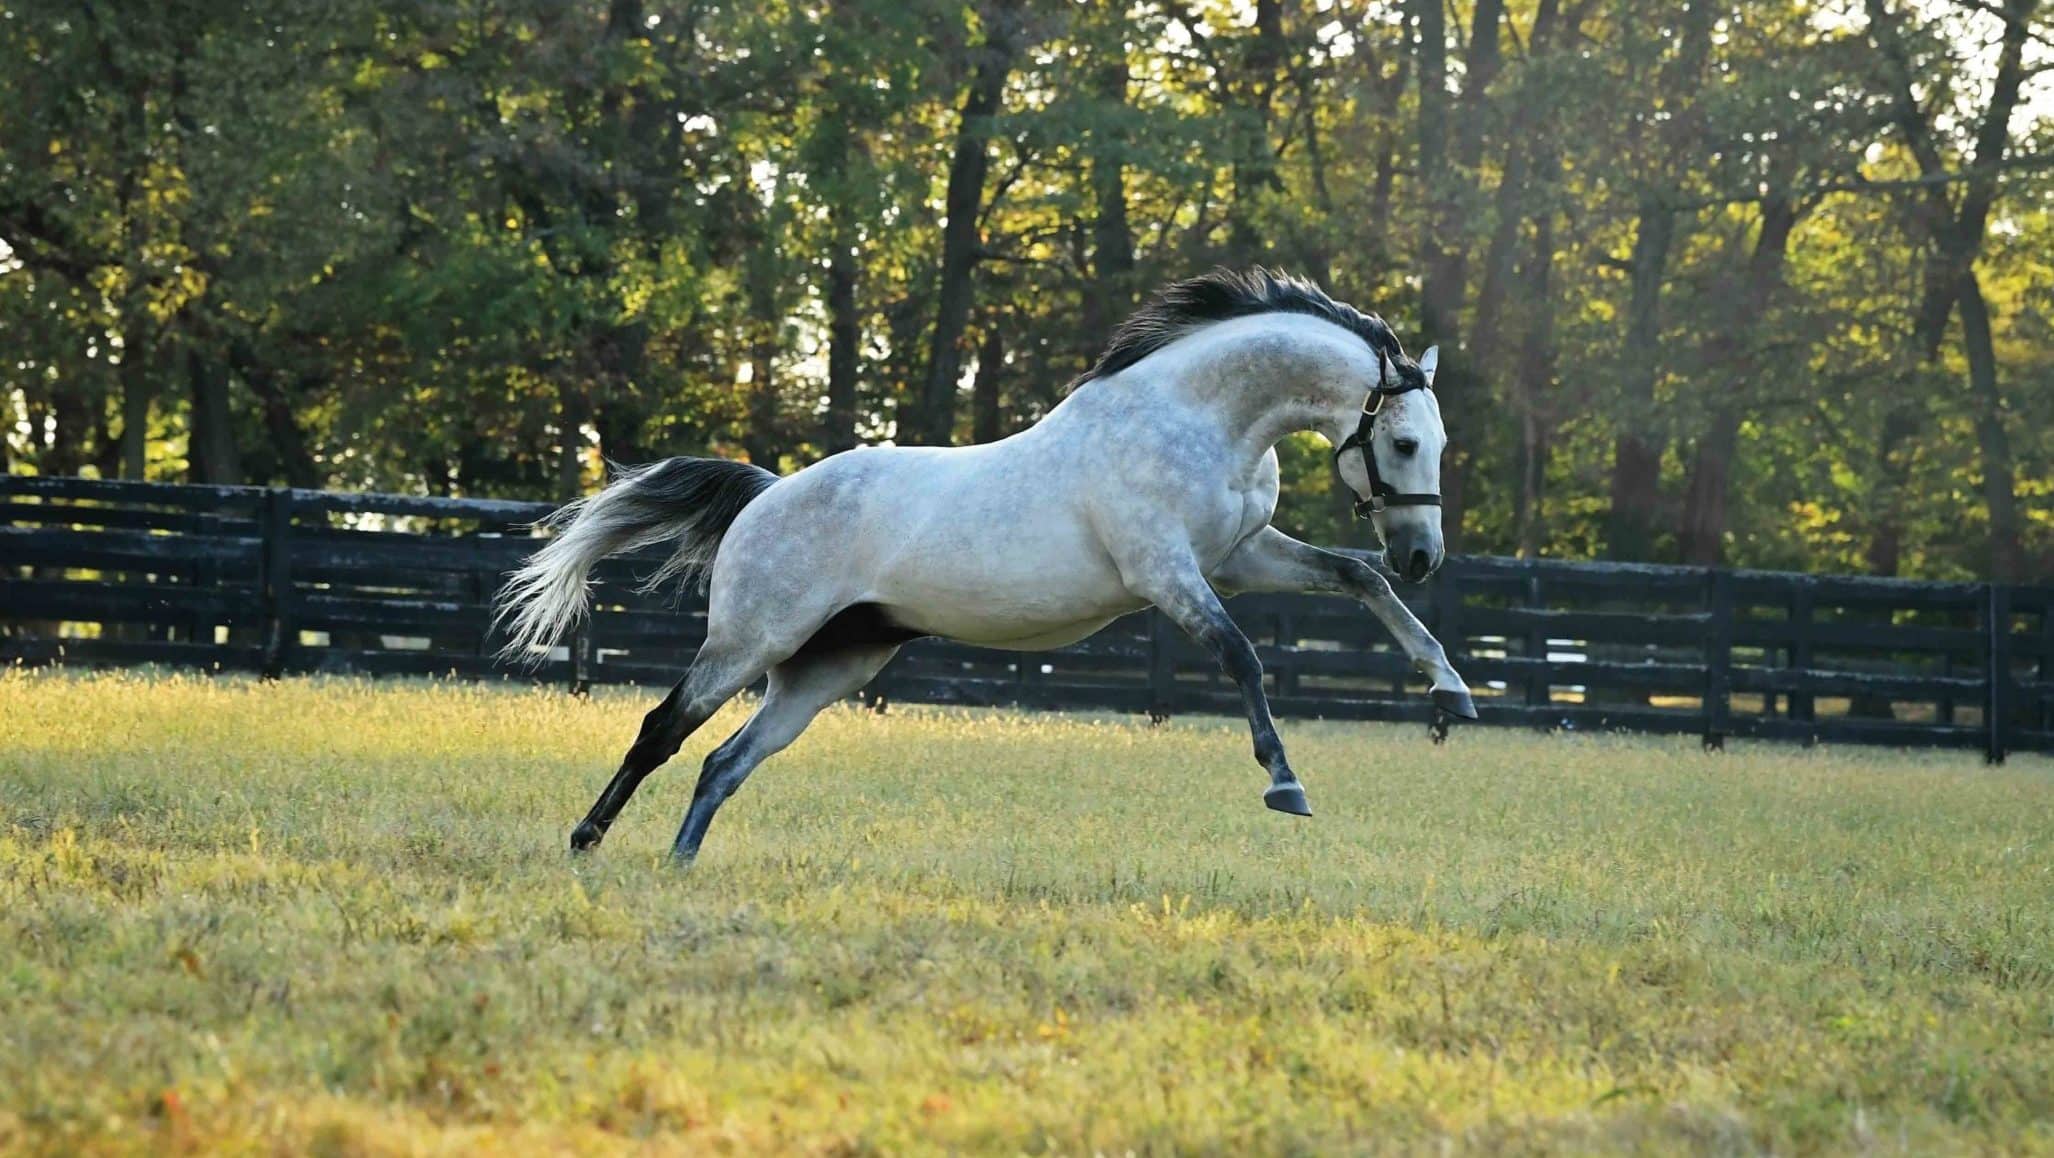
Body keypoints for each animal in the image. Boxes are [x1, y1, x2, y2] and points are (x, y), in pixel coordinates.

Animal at [497, 268, 1478, 858]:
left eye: (1434, 443)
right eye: (1400, 442)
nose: (1423, 553)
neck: (1196, 418)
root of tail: (767, 494)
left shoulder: (1240, 556)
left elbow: (1357, 578)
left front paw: (1451, 689)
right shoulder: (1168, 574)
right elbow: (1243, 657)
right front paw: (1286, 784)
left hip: (830, 668)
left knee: (723, 763)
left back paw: (680, 862)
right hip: (750, 641)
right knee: (663, 730)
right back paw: (586, 842)